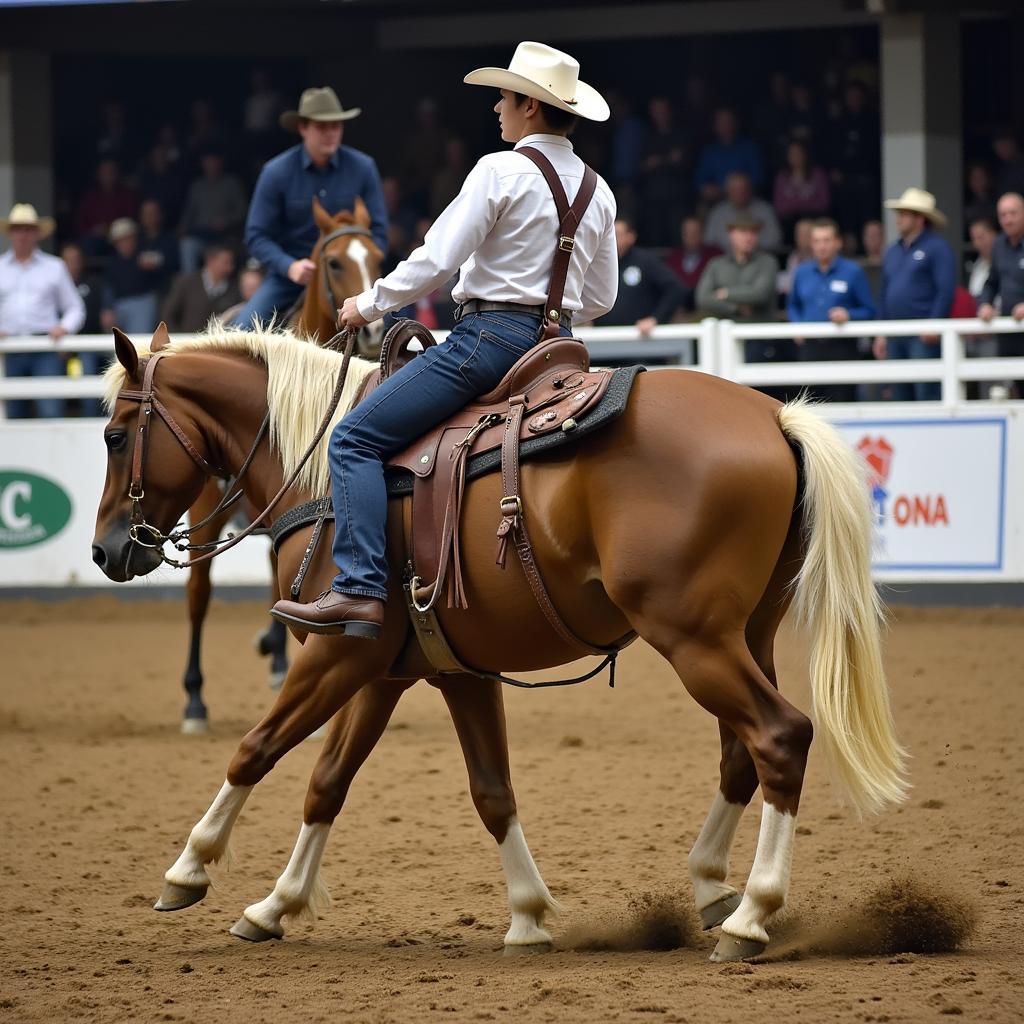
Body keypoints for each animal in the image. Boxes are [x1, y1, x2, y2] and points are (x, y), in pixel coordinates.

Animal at [88, 323, 905, 962]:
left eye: (115, 435)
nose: (104, 550)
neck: (321, 473)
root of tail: (774, 418)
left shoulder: (336, 654)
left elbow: (255, 750)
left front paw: (190, 870)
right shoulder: (413, 672)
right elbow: (399, 786)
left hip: (693, 638)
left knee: (779, 737)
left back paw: (752, 914)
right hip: (745, 634)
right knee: (743, 752)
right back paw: (711, 885)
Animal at [176, 199, 385, 733]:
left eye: (377, 257)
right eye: (333, 262)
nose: (373, 329)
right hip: (206, 505)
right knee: (198, 593)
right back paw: (195, 700)